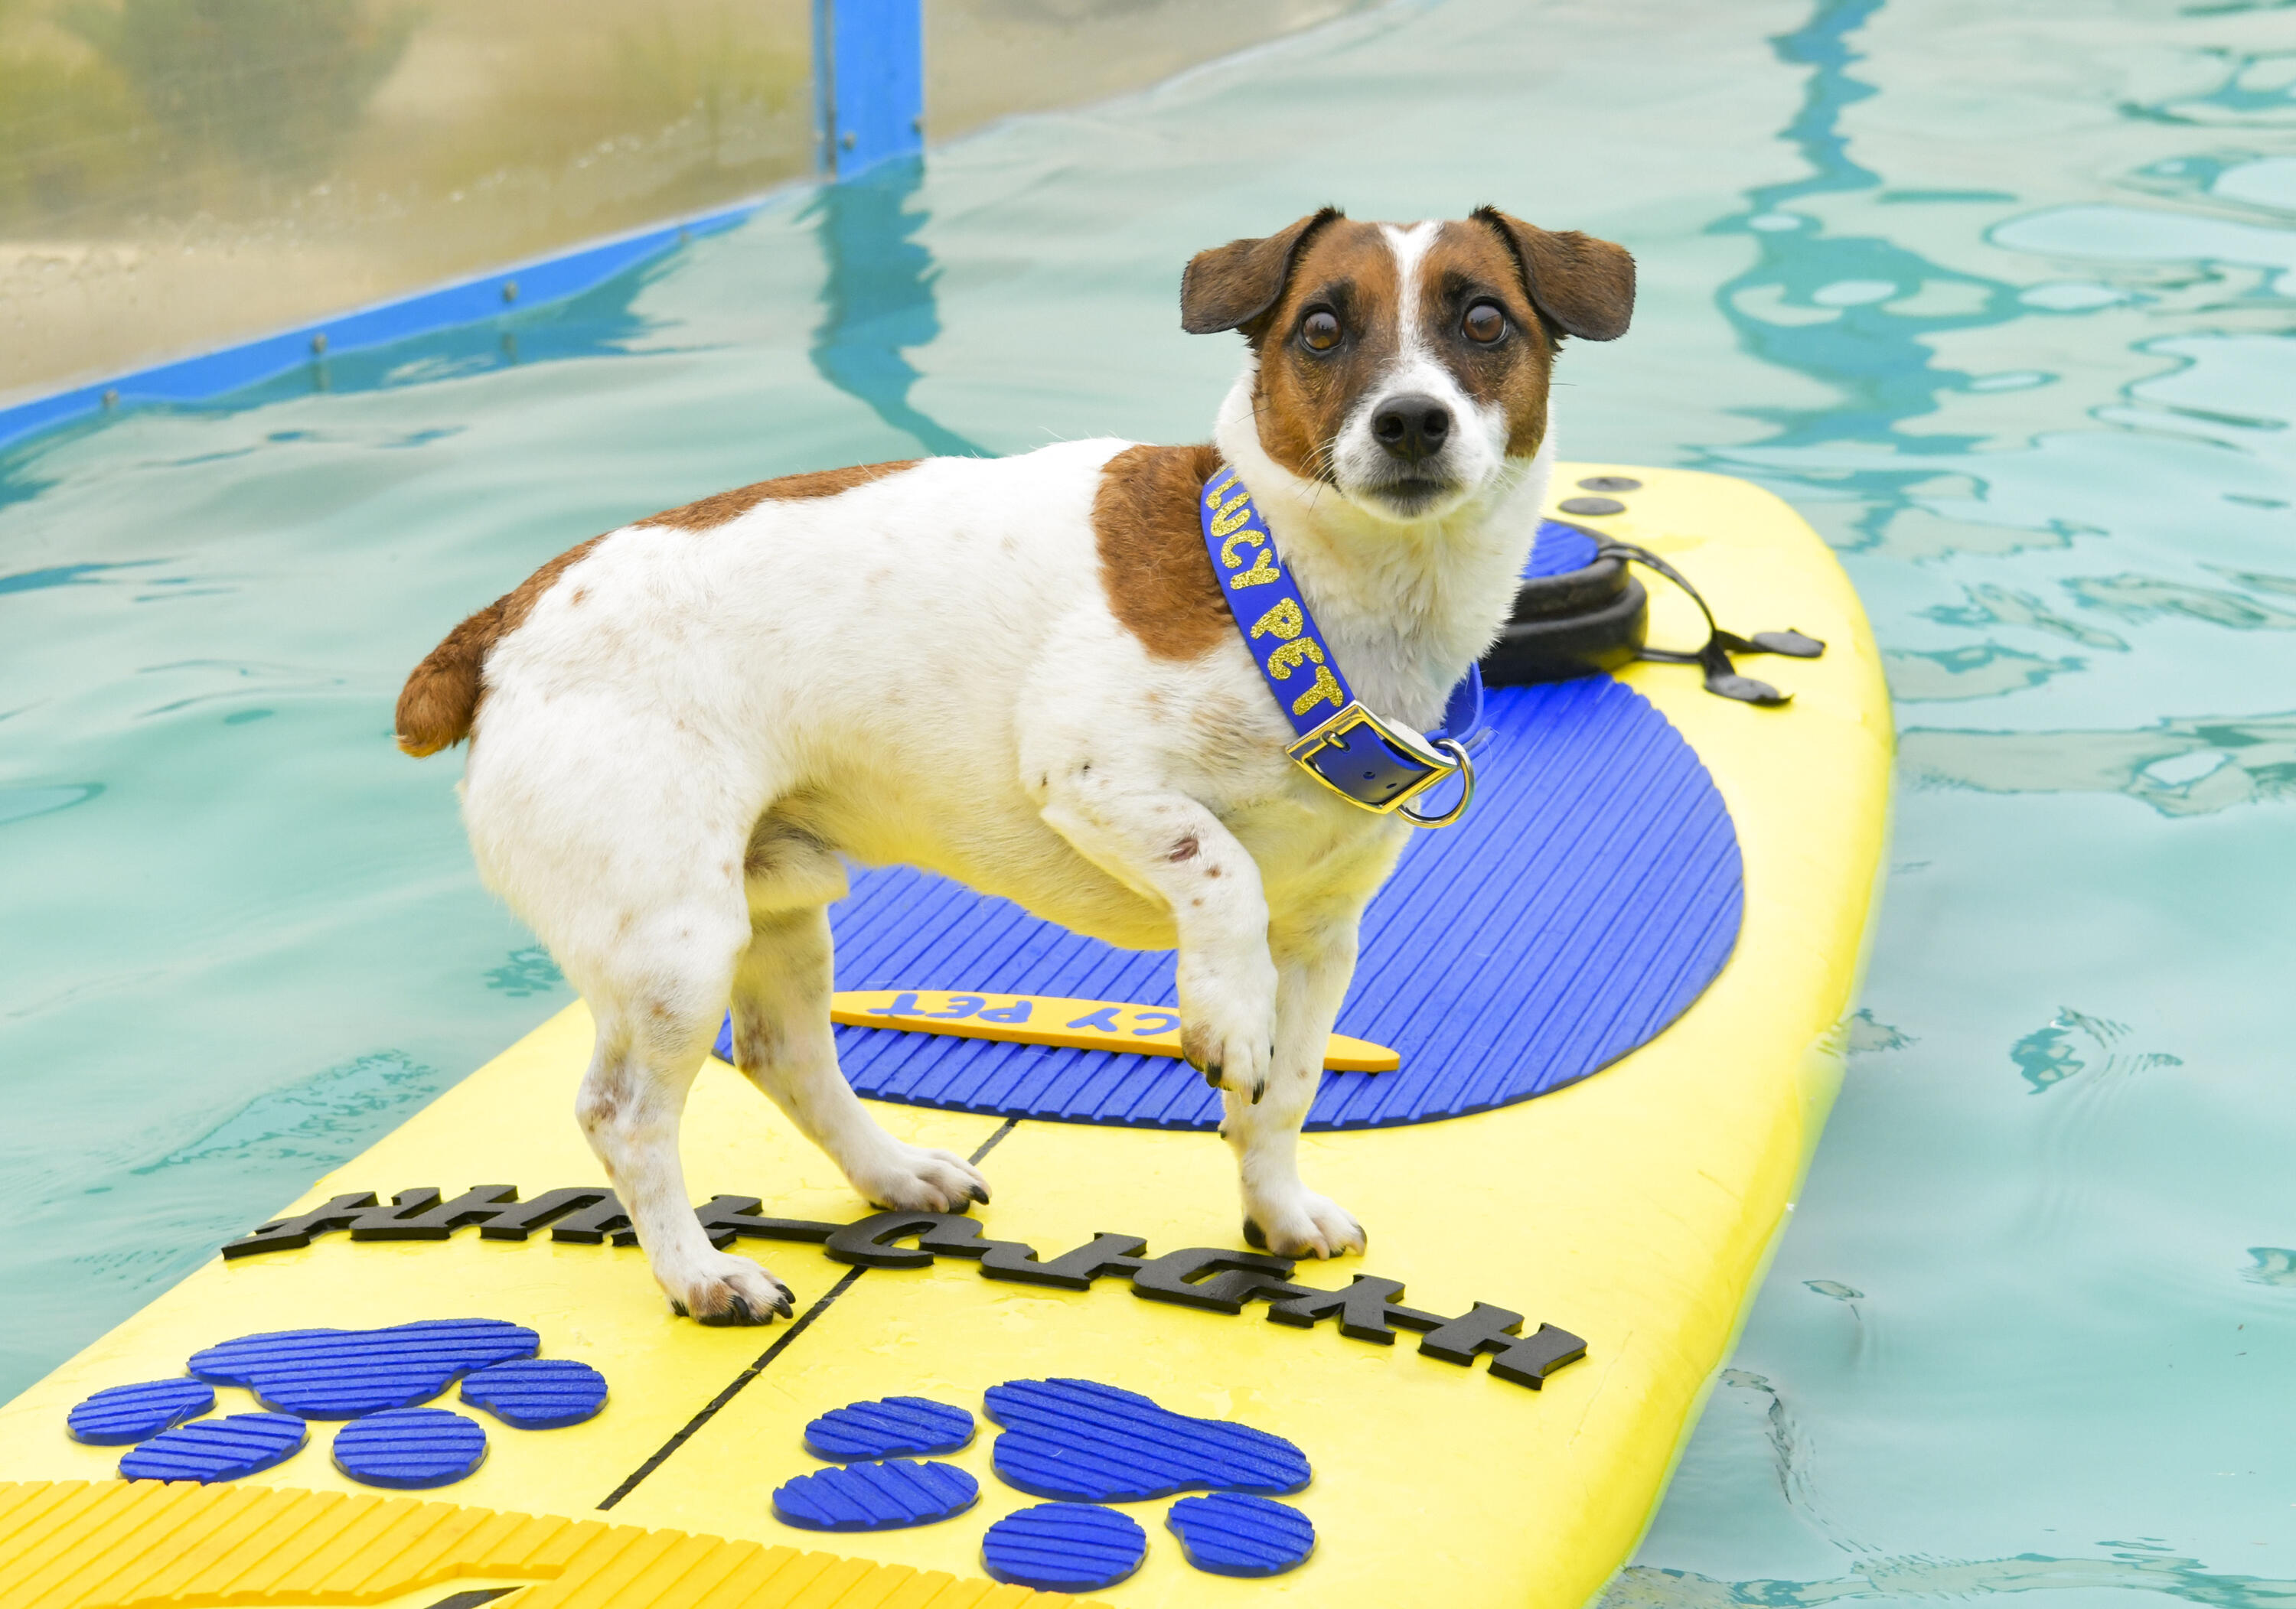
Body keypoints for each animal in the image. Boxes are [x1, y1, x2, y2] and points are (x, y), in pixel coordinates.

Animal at [404, 207, 1644, 1322]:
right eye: (1323, 330)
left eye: (1484, 320)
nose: (1410, 421)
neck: (1301, 590)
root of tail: (505, 619)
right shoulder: (1089, 772)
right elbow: (1222, 870)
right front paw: (1221, 1008)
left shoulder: (1325, 937)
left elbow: (1282, 1094)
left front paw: (1277, 1210)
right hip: (674, 940)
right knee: (624, 1115)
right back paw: (699, 1272)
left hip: (776, 906)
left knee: (786, 1055)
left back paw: (894, 1171)